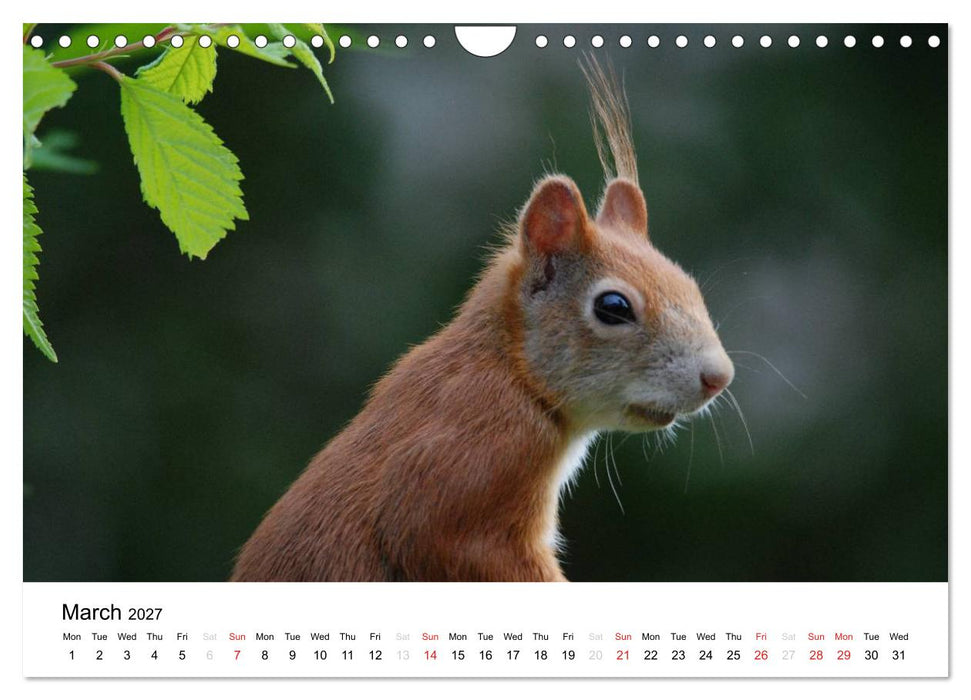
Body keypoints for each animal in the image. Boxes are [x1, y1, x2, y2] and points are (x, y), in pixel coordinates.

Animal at [230, 59, 734, 582]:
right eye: (613, 307)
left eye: (690, 285)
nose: (718, 377)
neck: (512, 371)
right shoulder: (475, 458)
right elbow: (440, 537)